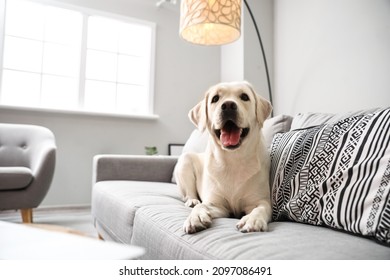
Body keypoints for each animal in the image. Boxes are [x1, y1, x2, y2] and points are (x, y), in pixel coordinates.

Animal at [175, 81, 272, 234]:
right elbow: (202, 206)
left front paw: (253, 220)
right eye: (215, 98)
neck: (233, 159)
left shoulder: (259, 200)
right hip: (185, 161)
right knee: (190, 194)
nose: (228, 106)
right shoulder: (217, 204)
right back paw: (192, 201)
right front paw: (195, 217)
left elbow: (261, 207)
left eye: (244, 96)